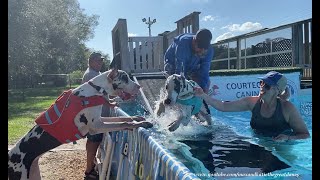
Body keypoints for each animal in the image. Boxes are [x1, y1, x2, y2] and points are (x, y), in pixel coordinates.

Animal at [7, 68, 152, 179]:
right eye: (125, 78)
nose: (139, 86)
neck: (96, 90)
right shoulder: (96, 127)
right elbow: (122, 123)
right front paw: (141, 123)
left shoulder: (100, 120)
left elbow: (121, 119)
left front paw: (137, 117)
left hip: (34, 174)